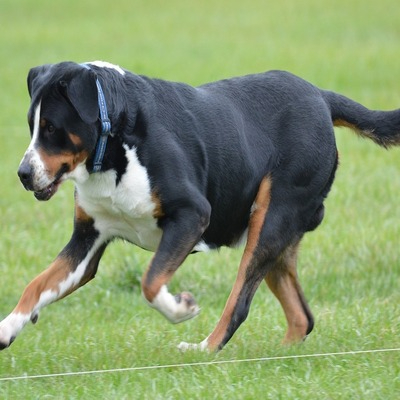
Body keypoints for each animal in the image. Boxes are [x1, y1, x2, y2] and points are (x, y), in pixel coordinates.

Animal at [0, 61, 400, 352]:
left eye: (52, 127)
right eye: (32, 125)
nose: (23, 174)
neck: (114, 147)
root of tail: (319, 95)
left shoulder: (191, 215)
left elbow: (150, 281)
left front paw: (181, 308)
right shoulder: (87, 240)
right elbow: (36, 286)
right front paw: (7, 328)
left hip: (270, 220)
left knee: (239, 303)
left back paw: (204, 348)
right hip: (277, 235)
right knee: (302, 317)